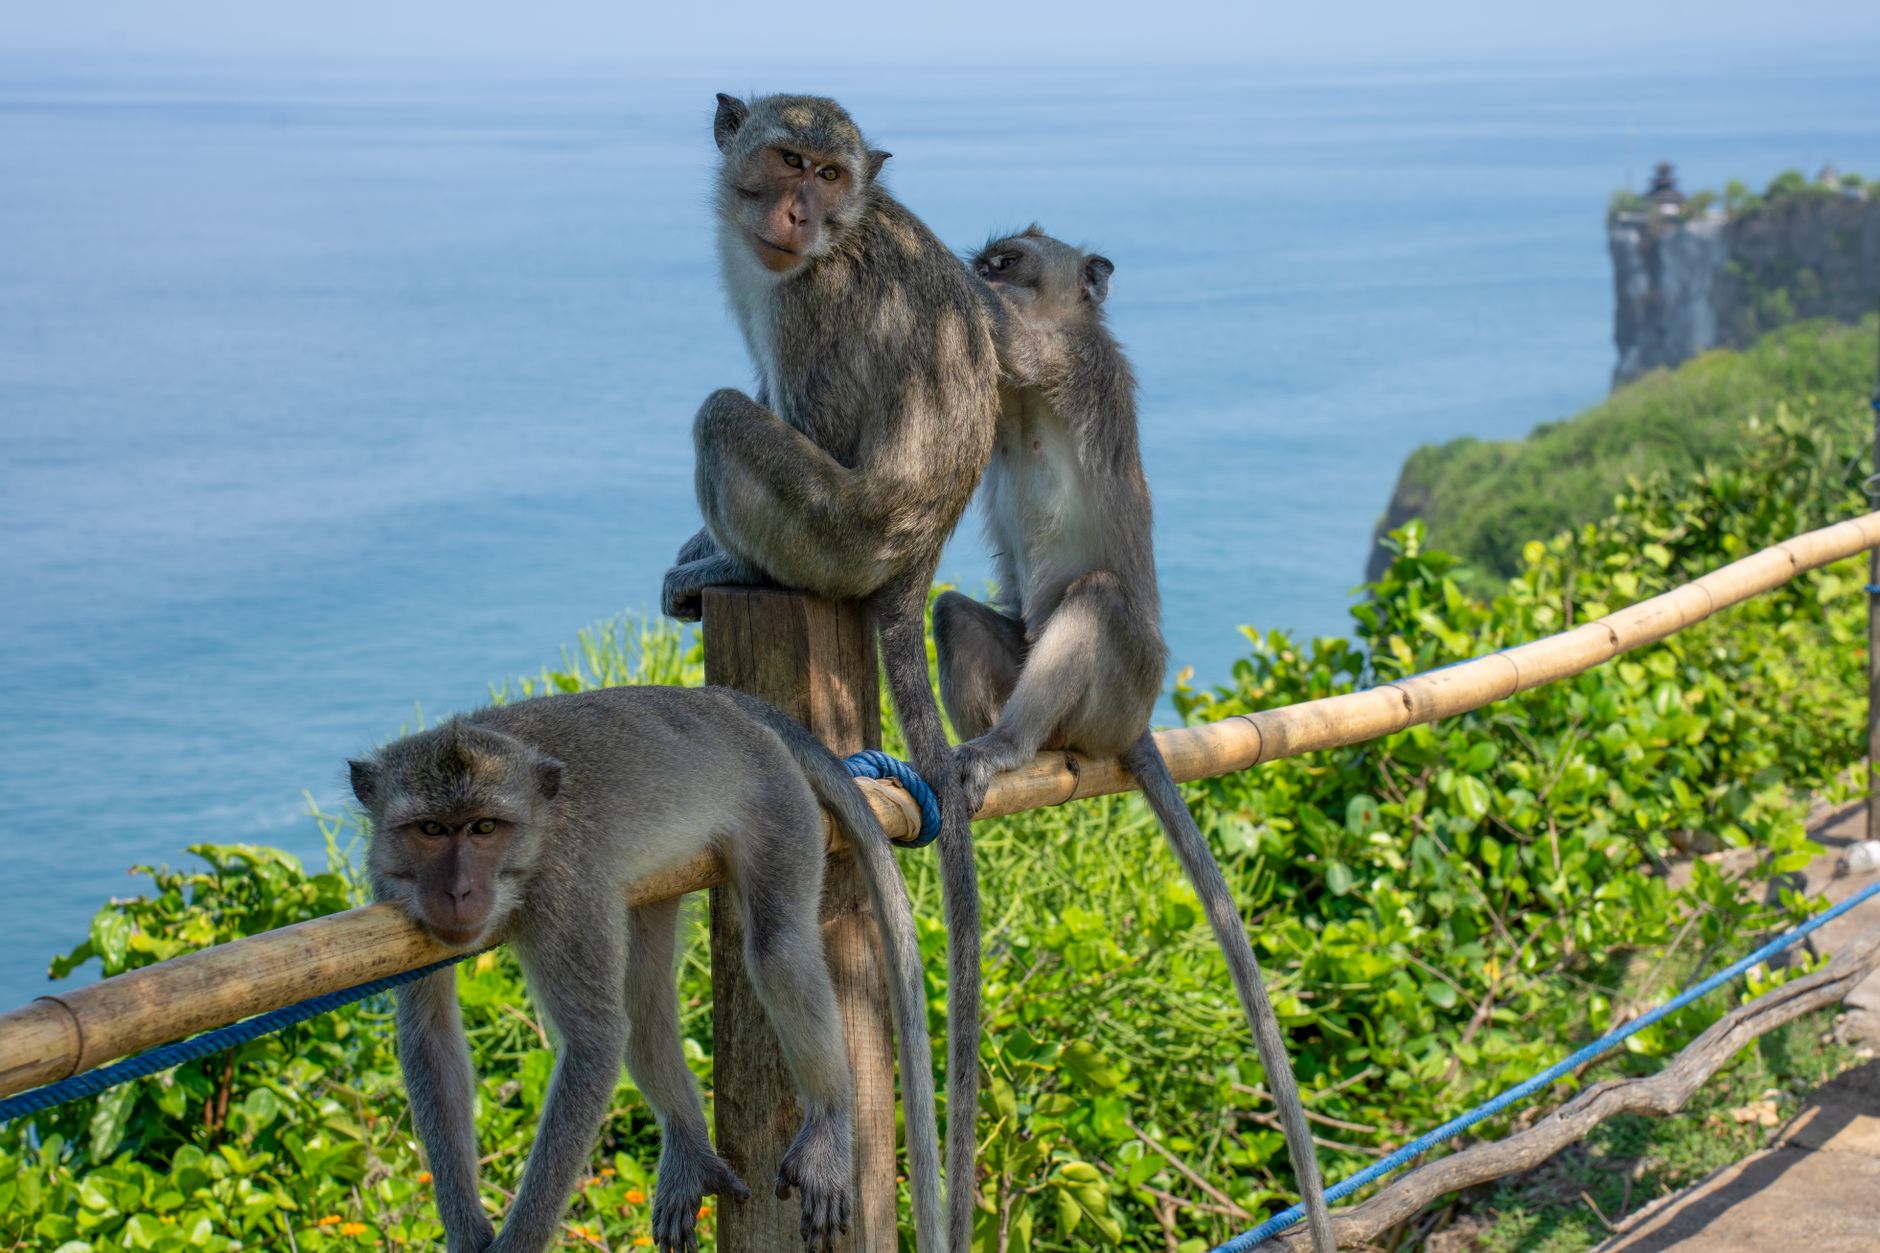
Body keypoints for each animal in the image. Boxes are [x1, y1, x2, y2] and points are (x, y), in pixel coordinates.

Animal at [346, 685, 942, 1253]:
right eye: (430, 829)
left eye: (485, 827)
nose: (457, 891)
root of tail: (717, 700)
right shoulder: (391, 887)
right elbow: (430, 1035)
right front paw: (466, 1231)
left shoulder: (566, 886)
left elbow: (595, 1040)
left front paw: (516, 1243)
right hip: (665, 871)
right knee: (645, 993)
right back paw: (690, 1149)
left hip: (778, 799)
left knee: (779, 947)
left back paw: (827, 1125)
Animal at [659, 92, 1001, 1249]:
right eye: (786, 158)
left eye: (829, 172)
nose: (800, 211)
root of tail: (916, 554)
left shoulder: (815, 302)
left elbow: (806, 416)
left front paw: (710, 555)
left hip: (837, 532)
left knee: (724, 412)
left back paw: (740, 565)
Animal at [933, 227, 1337, 1252]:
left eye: (1010, 259)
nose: (983, 265)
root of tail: (1138, 725)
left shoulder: (1075, 366)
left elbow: (1013, 347)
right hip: (1034, 662)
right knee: (961, 613)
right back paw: (1006, 750)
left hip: (1119, 690)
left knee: (1098, 600)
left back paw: (1008, 748)